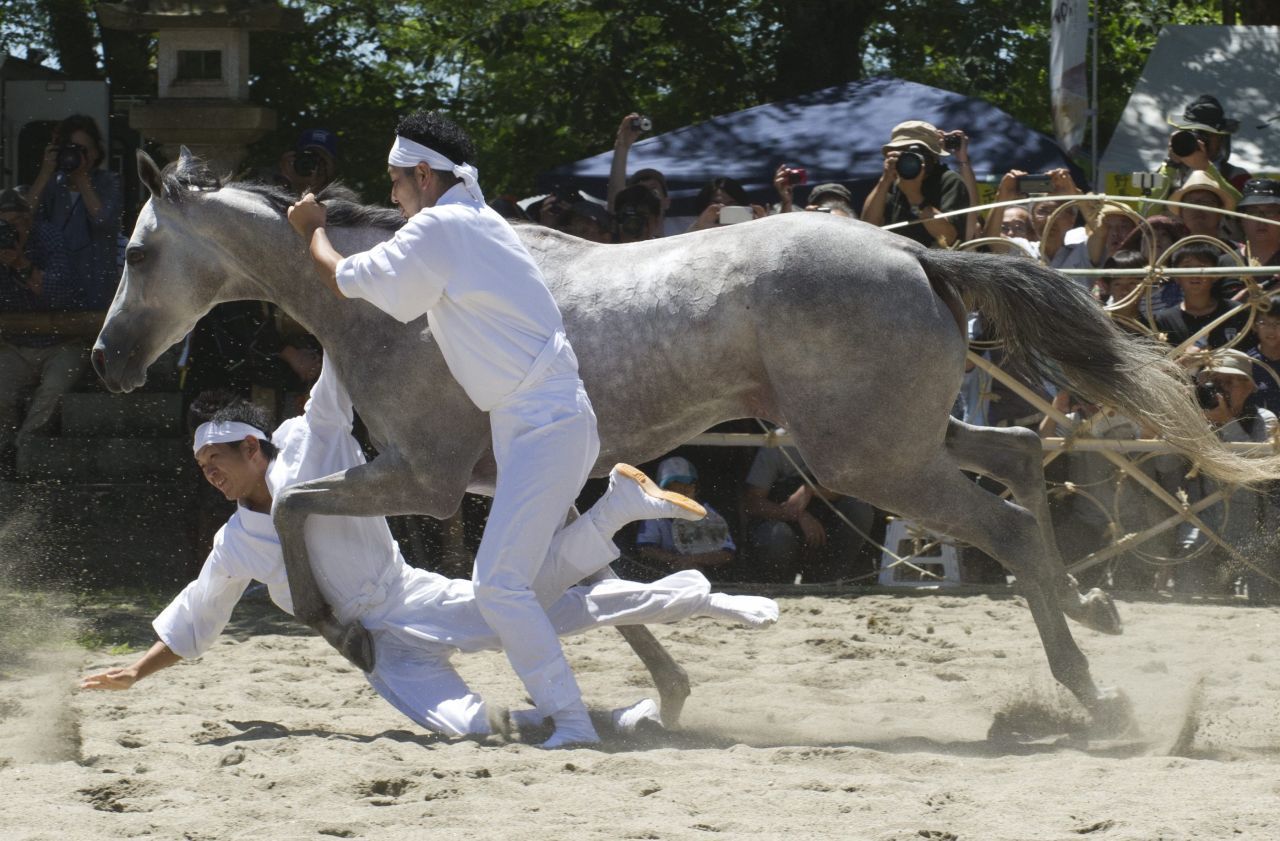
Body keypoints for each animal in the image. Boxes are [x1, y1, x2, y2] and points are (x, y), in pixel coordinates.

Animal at [92, 154, 1280, 732]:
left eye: (139, 253)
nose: (108, 358)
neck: (388, 302)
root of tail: (913, 252)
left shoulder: (424, 477)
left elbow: (295, 509)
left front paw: (342, 628)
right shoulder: (513, 484)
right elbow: (580, 579)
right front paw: (662, 688)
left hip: (866, 461)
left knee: (1003, 520)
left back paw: (1090, 689)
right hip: (901, 436)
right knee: (1024, 459)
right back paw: (1097, 603)